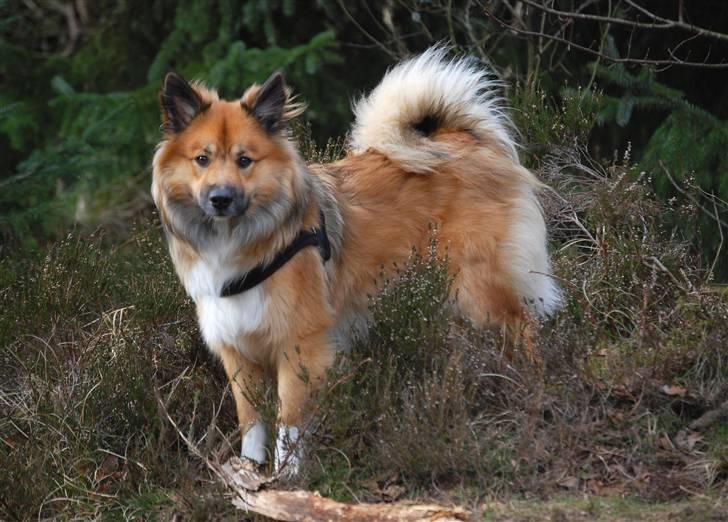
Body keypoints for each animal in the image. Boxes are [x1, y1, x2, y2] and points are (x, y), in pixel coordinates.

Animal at [149, 46, 556, 474]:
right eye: (202, 159)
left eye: (245, 160)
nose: (220, 199)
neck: (241, 241)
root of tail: (467, 138)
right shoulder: (239, 351)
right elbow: (252, 422)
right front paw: (249, 473)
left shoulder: (300, 344)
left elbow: (289, 423)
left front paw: (285, 478)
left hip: (478, 290)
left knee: (524, 328)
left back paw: (531, 390)